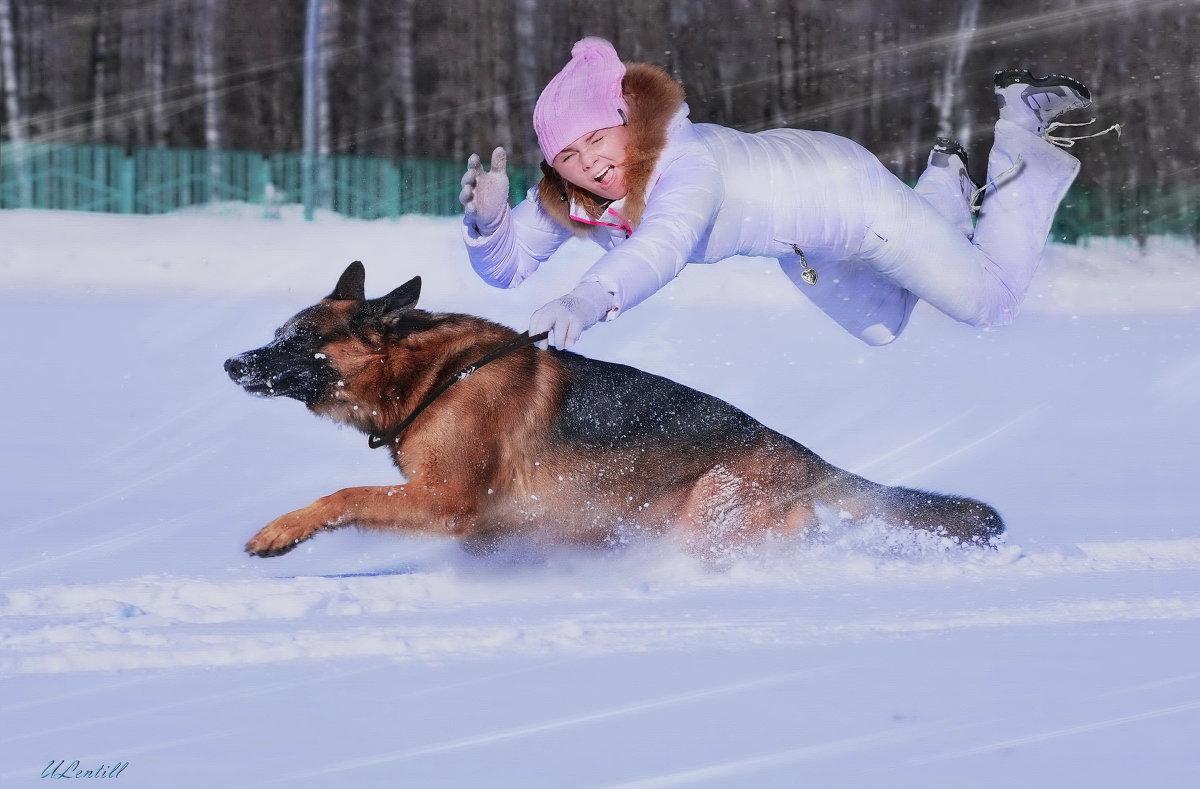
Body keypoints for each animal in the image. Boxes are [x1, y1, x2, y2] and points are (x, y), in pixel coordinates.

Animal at [225, 261, 1003, 556]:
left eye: (299, 340)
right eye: (277, 333)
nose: (231, 364)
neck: (436, 376)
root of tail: (806, 457)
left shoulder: (445, 500)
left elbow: (344, 494)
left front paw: (281, 530)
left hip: (702, 518)